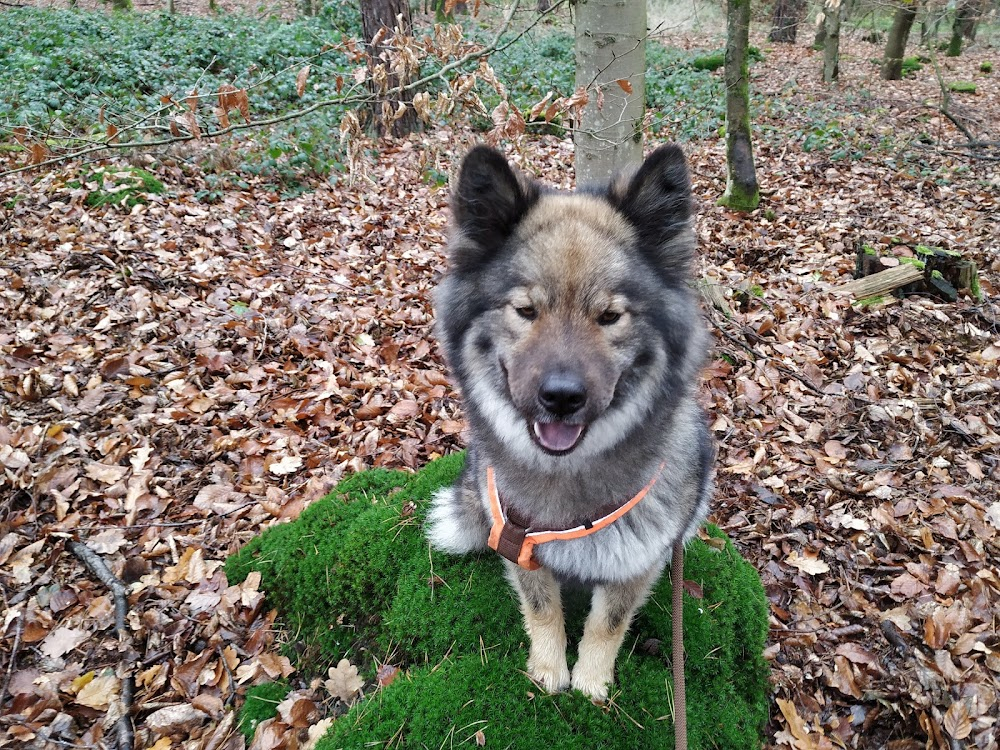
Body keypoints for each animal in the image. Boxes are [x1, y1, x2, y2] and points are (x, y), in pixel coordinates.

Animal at [426, 145, 716, 704]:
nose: (561, 397)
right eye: (525, 309)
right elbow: (543, 608)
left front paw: (590, 680)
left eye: (609, 316)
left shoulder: (634, 562)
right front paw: (548, 669)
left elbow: (608, 622)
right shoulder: (518, 543)